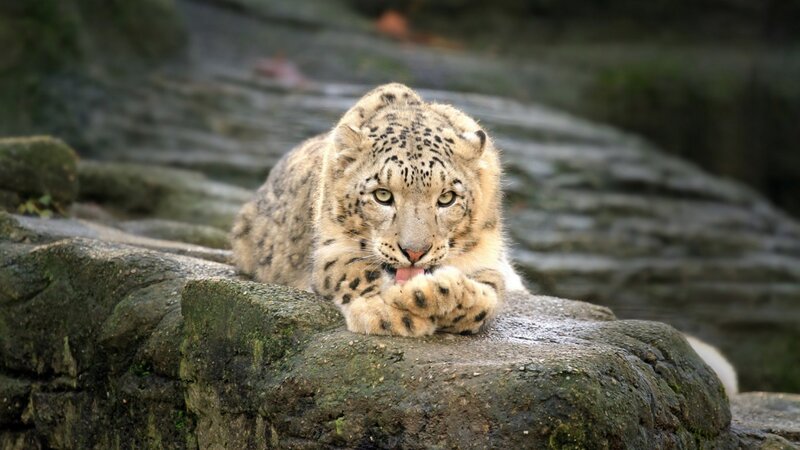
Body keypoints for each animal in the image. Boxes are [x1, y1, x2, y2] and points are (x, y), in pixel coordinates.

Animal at [231, 82, 522, 337]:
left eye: (447, 198)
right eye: (382, 195)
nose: (414, 252)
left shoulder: (487, 258)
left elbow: (486, 298)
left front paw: (431, 293)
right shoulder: (330, 249)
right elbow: (354, 270)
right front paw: (387, 313)